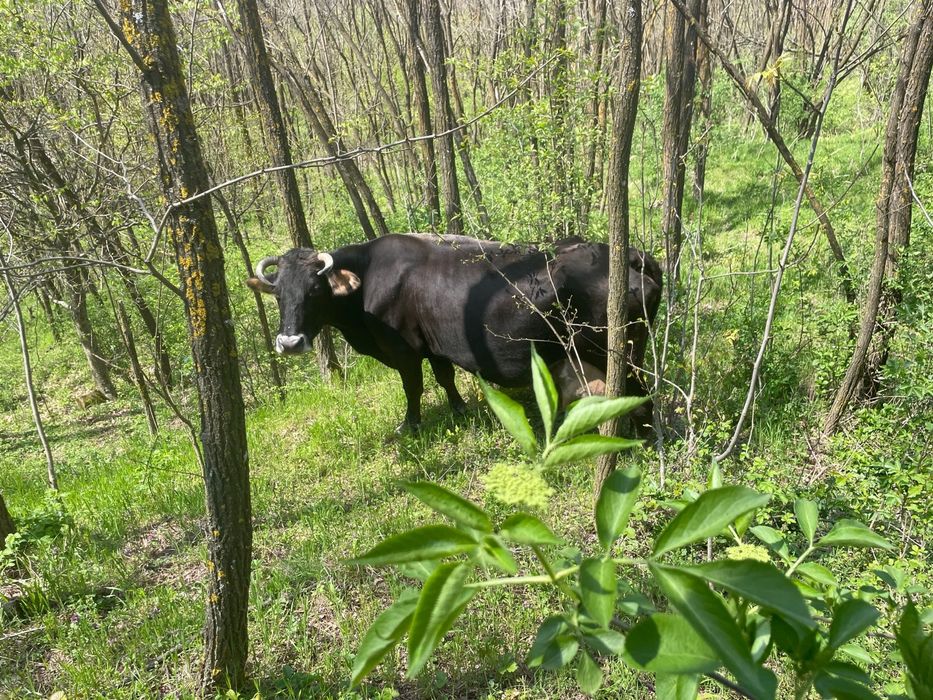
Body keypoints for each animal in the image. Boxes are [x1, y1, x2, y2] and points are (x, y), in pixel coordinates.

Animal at [246, 233, 662, 433]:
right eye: (278, 293)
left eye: (315, 290)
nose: (289, 342)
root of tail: (629, 253)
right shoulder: (434, 346)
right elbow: (444, 376)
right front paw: (459, 408)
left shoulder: (404, 349)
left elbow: (413, 387)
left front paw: (410, 425)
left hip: (618, 353)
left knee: (640, 396)